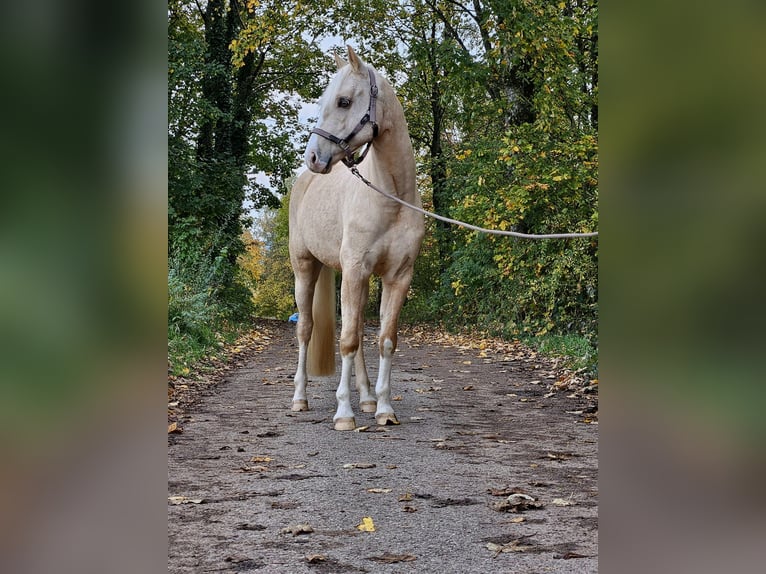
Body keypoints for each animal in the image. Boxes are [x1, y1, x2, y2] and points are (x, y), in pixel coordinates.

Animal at [290, 46, 426, 432]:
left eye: (344, 101)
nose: (314, 157)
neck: (391, 198)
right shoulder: (352, 271)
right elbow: (347, 341)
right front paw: (343, 414)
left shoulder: (397, 278)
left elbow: (384, 340)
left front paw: (383, 408)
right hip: (305, 269)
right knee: (305, 330)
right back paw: (300, 398)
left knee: (362, 333)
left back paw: (365, 397)